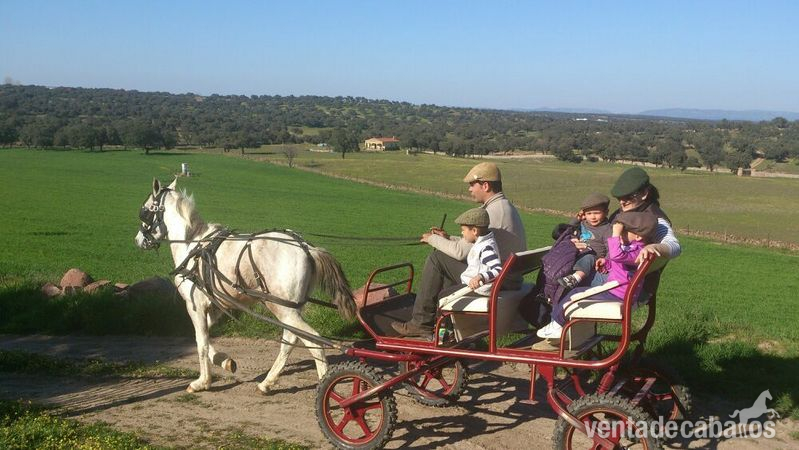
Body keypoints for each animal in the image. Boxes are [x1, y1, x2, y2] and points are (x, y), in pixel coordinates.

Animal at [134, 178, 356, 393]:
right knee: (290, 341)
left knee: (314, 342)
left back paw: (324, 386)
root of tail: (308, 249)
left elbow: (201, 342)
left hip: (283, 309)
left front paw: (202, 382)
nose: (138, 240)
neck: (193, 245)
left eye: (144, 211)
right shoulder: (217, 305)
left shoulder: (195, 305)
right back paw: (267, 383)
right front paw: (225, 362)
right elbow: (205, 335)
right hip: (290, 309)